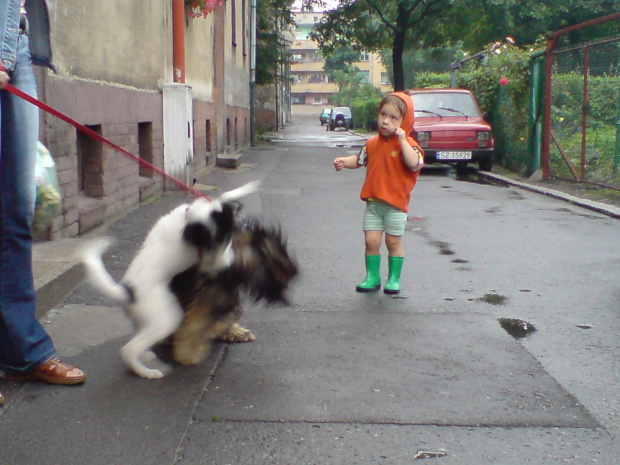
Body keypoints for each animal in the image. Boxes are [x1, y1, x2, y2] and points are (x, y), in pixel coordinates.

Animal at [80, 180, 260, 376]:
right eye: (224, 234)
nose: (245, 227)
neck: (187, 219)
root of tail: (126, 291)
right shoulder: (210, 257)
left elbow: (224, 196)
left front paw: (245, 189)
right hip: (165, 318)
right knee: (128, 349)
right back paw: (146, 372)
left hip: (146, 320)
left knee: (139, 341)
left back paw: (146, 357)